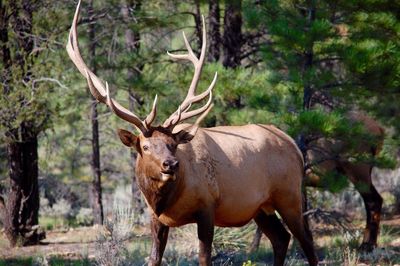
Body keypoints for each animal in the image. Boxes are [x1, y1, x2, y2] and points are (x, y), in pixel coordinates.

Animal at [67, 1, 318, 264]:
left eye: (173, 144)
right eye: (145, 147)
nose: (170, 164)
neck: (165, 200)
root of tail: (295, 148)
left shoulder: (207, 208)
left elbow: (204, 257)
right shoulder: (156, 219)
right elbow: (154, 258)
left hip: (289, 196)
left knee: (306, 241)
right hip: (261, 207)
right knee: (281, 238)